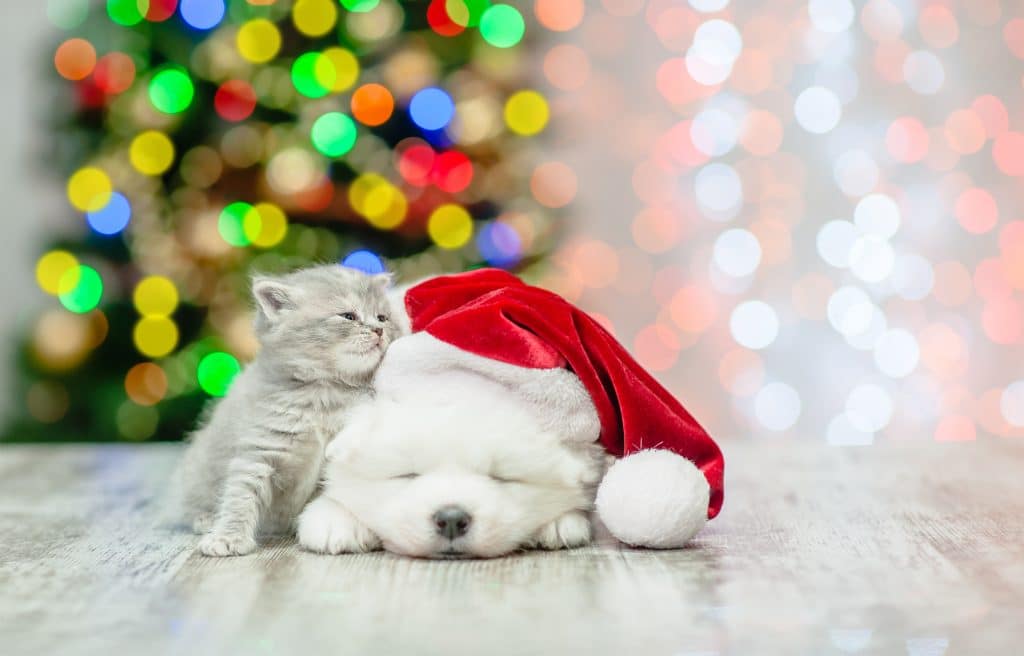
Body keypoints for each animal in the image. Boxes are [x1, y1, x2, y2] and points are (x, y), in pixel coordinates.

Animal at [178, 264, 401, 556]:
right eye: (348, 316)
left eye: (382, 317)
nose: (378, 331)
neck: (324, 392)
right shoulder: (261, 445)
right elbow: (241, 491)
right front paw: (227, 537)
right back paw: (205, 519)